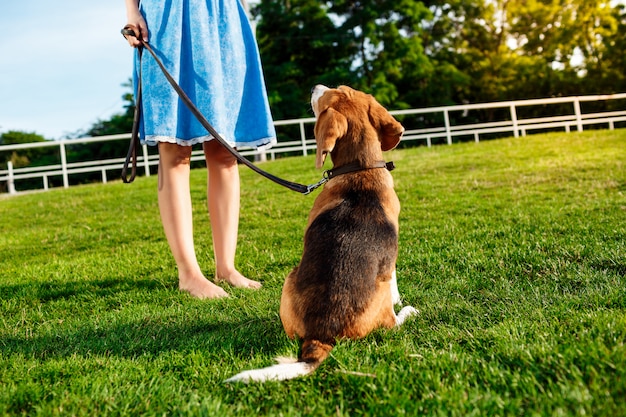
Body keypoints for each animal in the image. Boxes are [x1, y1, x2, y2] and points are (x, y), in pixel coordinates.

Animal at [227, 85, 416, 384]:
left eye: (339, 90)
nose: (315, 87)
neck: (360, 168)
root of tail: (323, 333)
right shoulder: (391, 262)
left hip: (290, 278)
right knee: (392, 324)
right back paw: (407, 312)